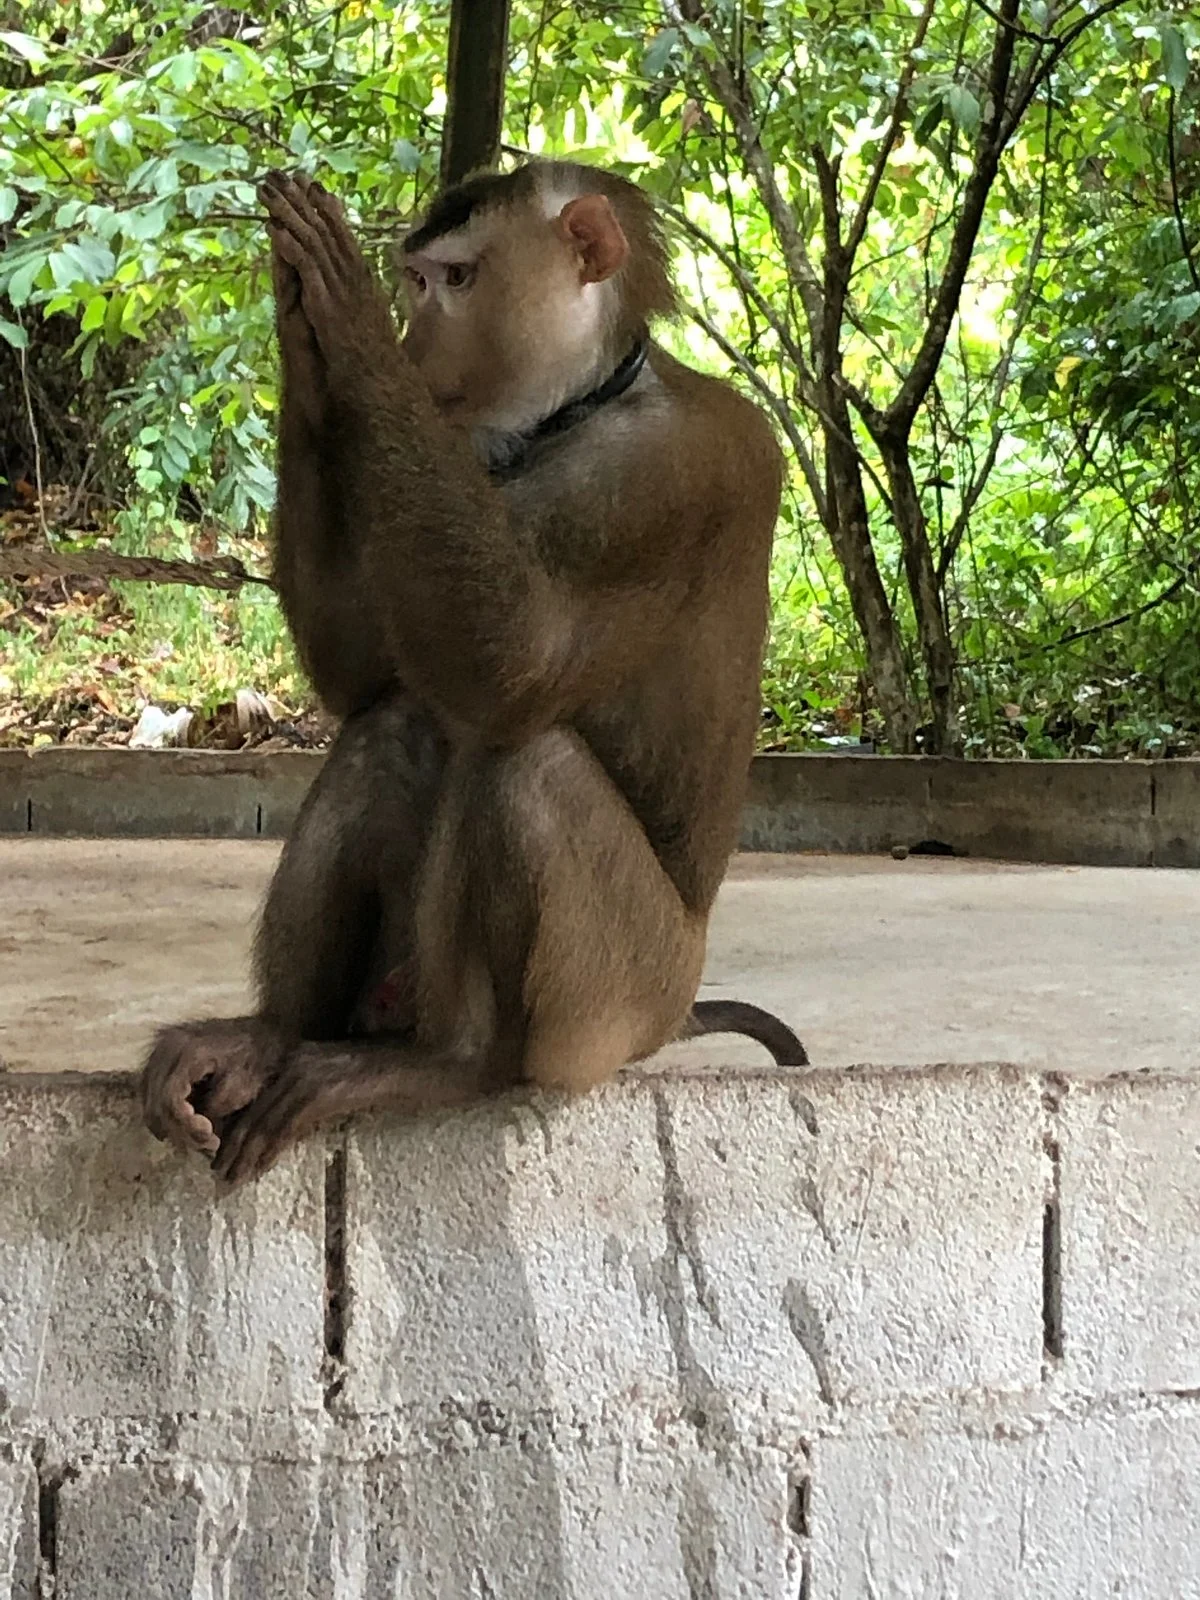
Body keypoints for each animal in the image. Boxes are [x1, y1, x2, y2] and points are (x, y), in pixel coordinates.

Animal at [140, 160, 807, 1187]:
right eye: (418, 282)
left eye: (453, 281)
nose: (413, 346)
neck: (579, 407)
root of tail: (674, 1008)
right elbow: (370, 676)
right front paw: (307, 341)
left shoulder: (670, 477)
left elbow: (515, 665)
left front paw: (346, 321)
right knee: (393, 728)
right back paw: (273, 1036)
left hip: (620, 1001)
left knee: (524, 760)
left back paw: (457, 1064)